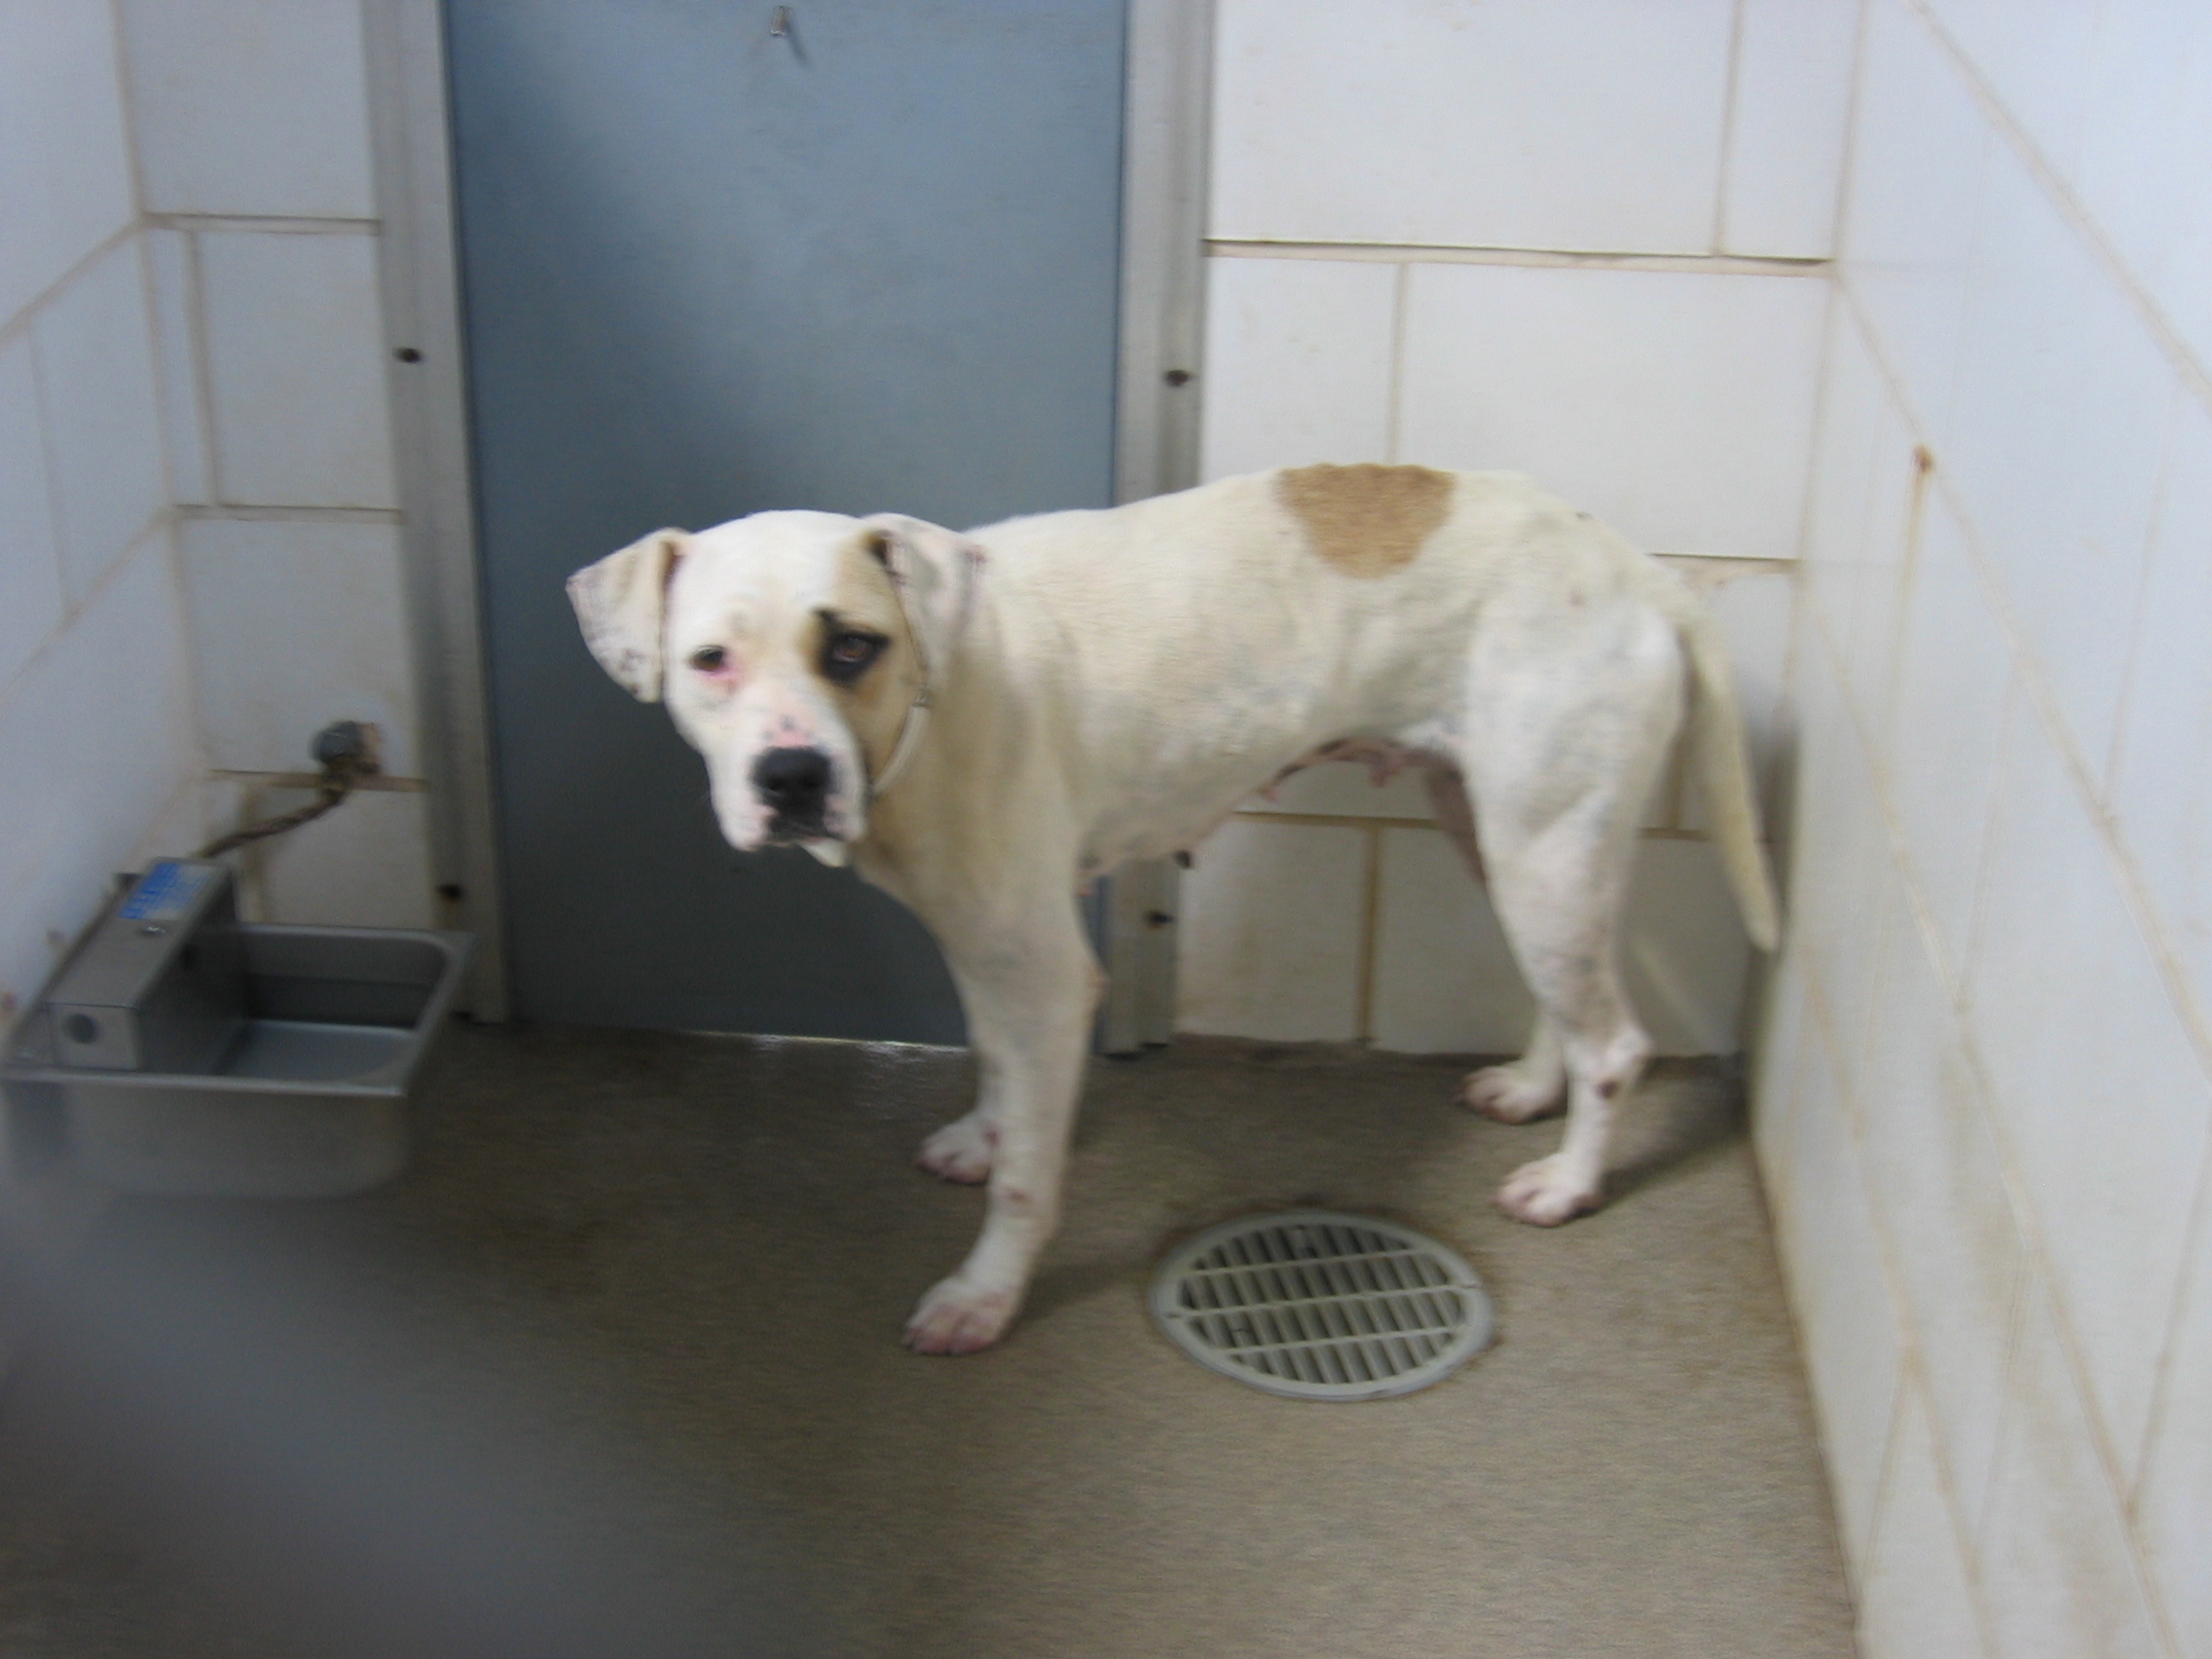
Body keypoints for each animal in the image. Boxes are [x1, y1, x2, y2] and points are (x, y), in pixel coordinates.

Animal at [568, 464, 1779, 1354]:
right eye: (708, 661)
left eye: (852, 645)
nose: (790, 777)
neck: (937, 687)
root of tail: (1637, 571)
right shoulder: (988, 947)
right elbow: (995, 1063)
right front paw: (983, 1134)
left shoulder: (1048, 974)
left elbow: (1028, 1183)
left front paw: (984, 1294)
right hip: (1509, 841)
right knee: (1569, 1004)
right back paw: (1531, 1090)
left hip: (1542, 849)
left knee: (1614, 1042)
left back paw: (1570, 1183)